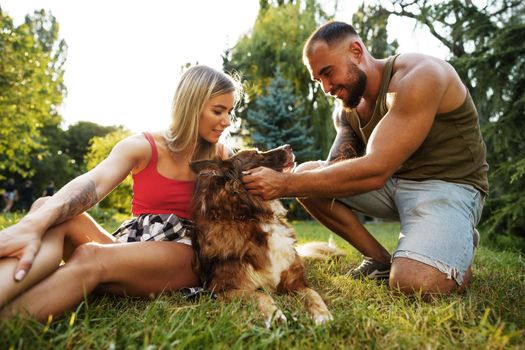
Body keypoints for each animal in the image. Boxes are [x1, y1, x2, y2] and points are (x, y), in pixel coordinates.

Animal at [190, 144, 342, 326]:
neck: (254, 216)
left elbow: (313, 294)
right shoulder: (222, 289)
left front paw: (323, 314)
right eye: (255, 154)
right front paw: (275, 315)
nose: (288, 146)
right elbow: (260, 294)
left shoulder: (295, 283)